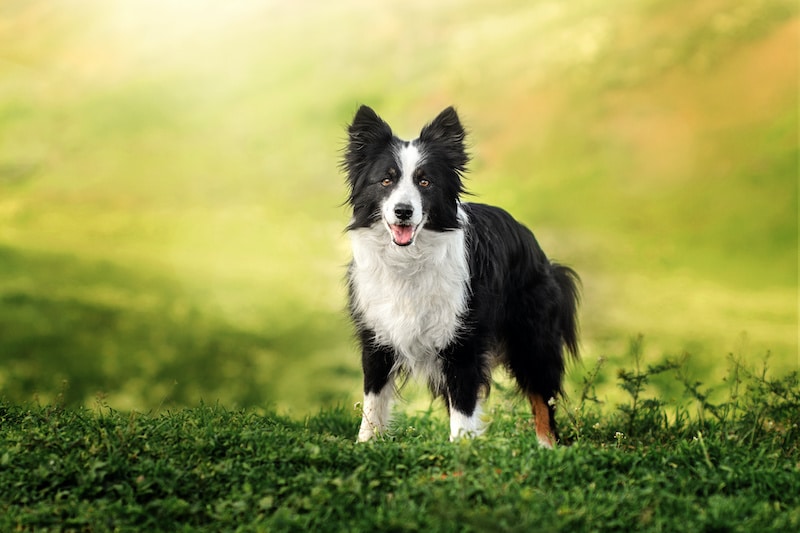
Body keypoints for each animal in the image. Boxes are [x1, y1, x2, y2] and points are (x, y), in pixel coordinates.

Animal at [340, 105, 580, 444]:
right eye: (386, 180)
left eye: (425, 182)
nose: (403, 211)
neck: (409, 259)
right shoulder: (376, 336)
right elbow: (372, 401)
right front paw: (365, 445)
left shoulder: (462, 340)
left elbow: (464, 407)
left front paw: (462, 450)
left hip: (532, 338)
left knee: (541, 396)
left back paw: (547, 446)